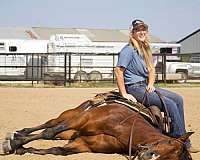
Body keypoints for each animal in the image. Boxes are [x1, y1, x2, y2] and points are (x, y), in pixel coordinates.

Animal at [0, 91, 194, 160]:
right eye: (170, 142)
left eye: (171, 158)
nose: (150, 155)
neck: (127, 128)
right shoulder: (84, 120)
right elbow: (48, 132)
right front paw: (13, 144)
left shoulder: (84, 144)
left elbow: (57, 150)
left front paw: (23, 150)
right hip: (71, 115)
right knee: (49, 125)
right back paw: (18, 133)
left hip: (70, 132)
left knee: (55, 135)